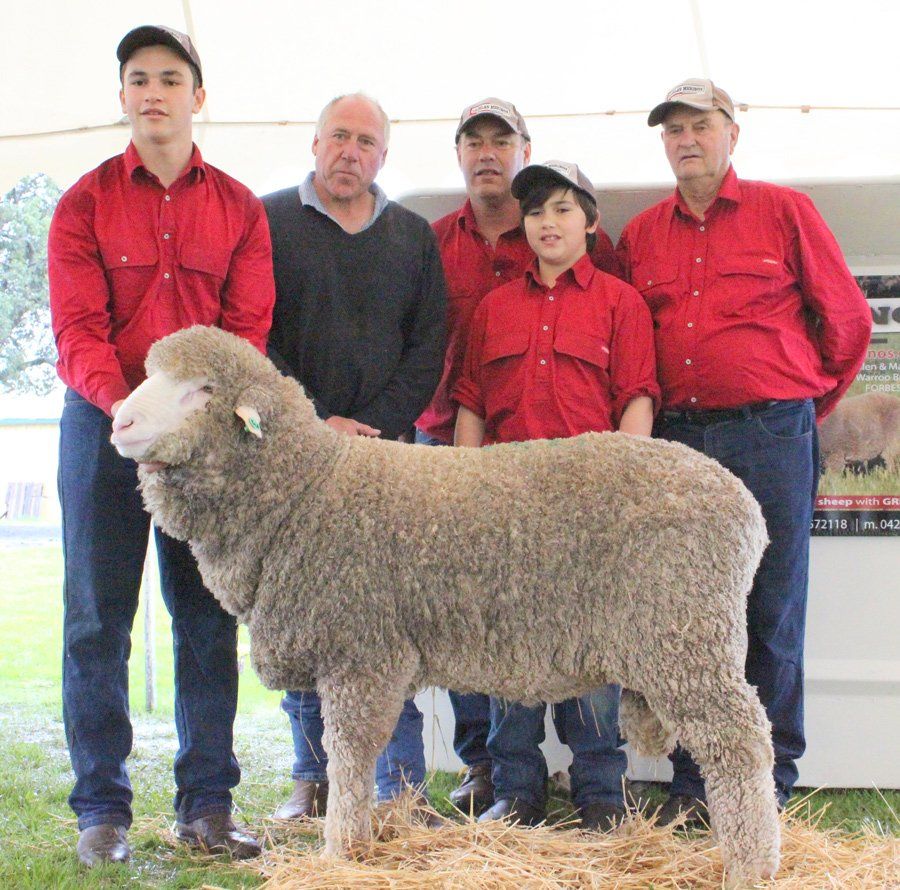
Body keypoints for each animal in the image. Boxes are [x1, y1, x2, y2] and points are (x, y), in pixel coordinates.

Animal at [111, 325, 779, 887]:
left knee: (742, 742)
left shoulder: (359, 652)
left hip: (684, 634)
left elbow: (349, 755)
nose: (119, 421)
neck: (307, 488)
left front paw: (339, 850)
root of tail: (745, 505)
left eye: (201, 390)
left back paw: (755, 861)